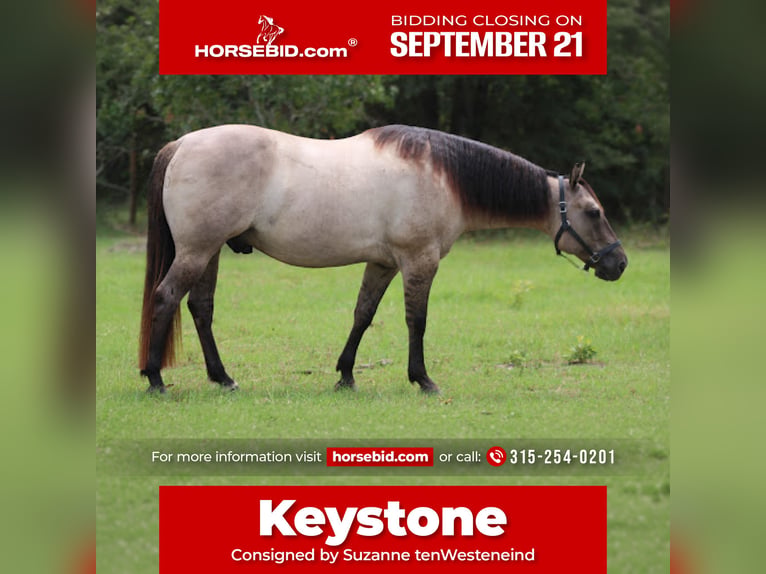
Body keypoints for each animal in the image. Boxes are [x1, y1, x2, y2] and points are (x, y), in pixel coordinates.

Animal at [138, 124, 627, 394]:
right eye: (593, 212)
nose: (619, 263)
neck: (442, 175)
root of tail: (182, 145)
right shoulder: (418, 262)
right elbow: (417, 320)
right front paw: (423, 379)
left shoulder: (384, 264)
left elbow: (363, 314)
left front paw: (345, 376)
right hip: (198, 251)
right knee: (166, 298)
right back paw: (155, 379)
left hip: (209, 252)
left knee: (200, 308)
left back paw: (223, 378)